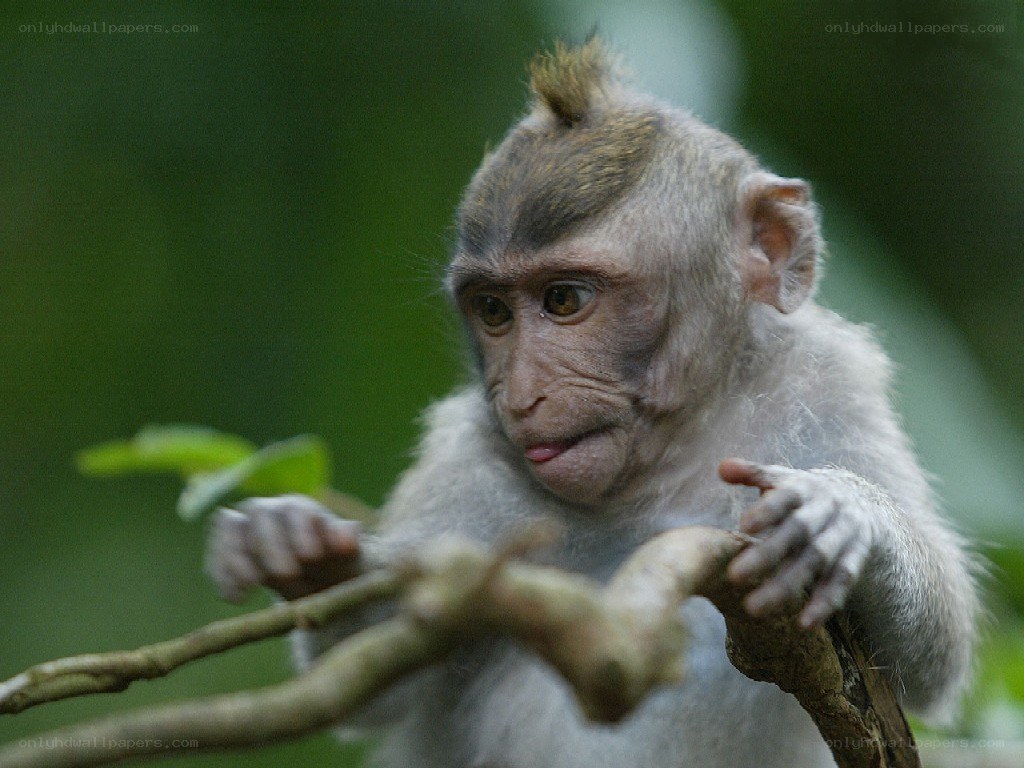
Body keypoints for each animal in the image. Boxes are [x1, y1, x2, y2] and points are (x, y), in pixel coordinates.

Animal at [206, 39, 979, 768]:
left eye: (563, 300)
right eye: (493, 312)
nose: (522, 395)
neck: (672, 461)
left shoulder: (830, 383)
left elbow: (934, 660)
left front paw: (846, 516)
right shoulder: (468, 461)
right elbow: (388, 669)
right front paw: (302, 555)